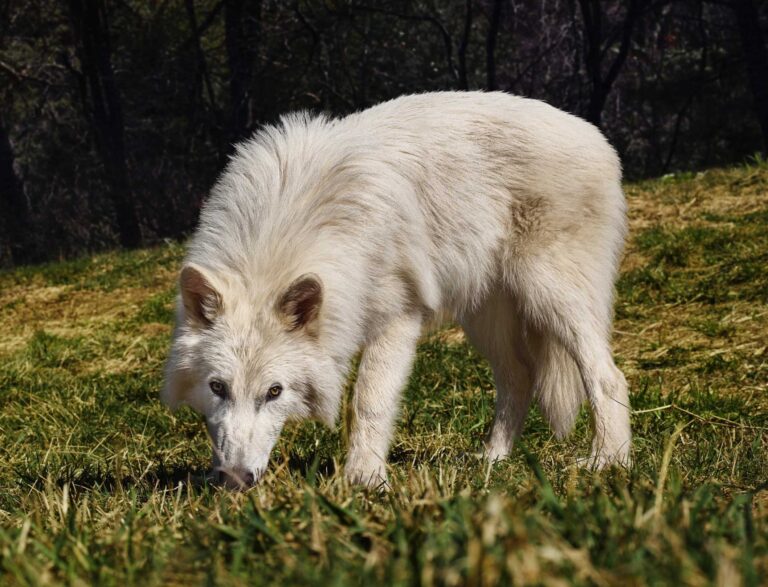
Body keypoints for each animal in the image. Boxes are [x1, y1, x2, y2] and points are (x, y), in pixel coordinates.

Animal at [162, 91, 631, 489]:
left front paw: (365, 479)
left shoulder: (398, 319)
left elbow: (369, 400)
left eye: (274, 392)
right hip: (485, 319)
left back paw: (609, 461)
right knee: (519, 378)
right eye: (217, 387)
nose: (234, 480)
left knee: (607, 376)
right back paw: (493, 460)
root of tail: (596, 136)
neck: (289, 228)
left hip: (551, 297)